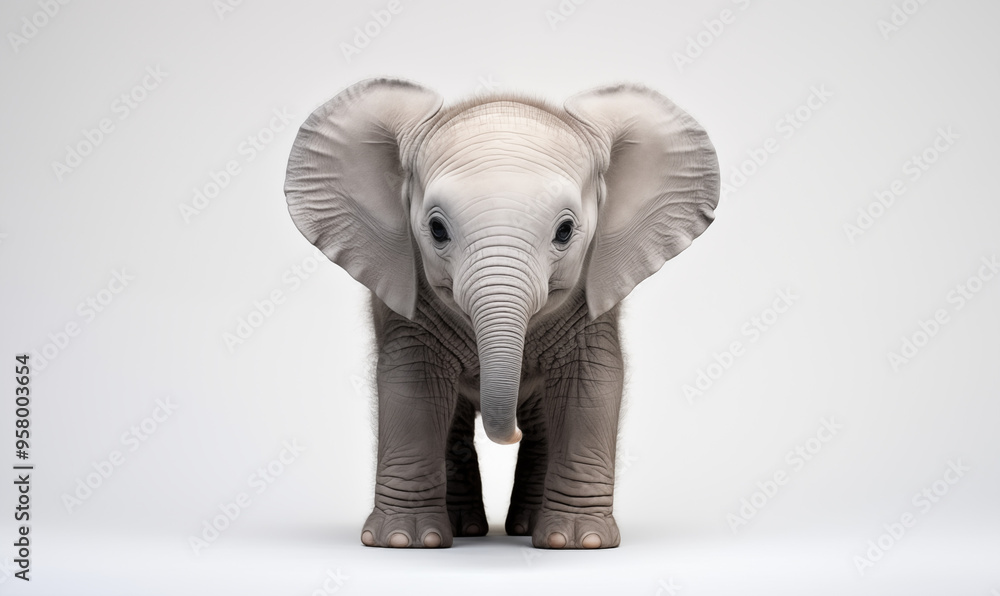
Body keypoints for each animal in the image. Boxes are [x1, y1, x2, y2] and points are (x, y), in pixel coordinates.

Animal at [284, 78, 719, 549]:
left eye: (565, 231)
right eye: (437, 230)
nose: (509, 435)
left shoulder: (592, 301)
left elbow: (589, 387)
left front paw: (579, 541)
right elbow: (412, 389)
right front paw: (403, 540)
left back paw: (527, 527)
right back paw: (466, 529)